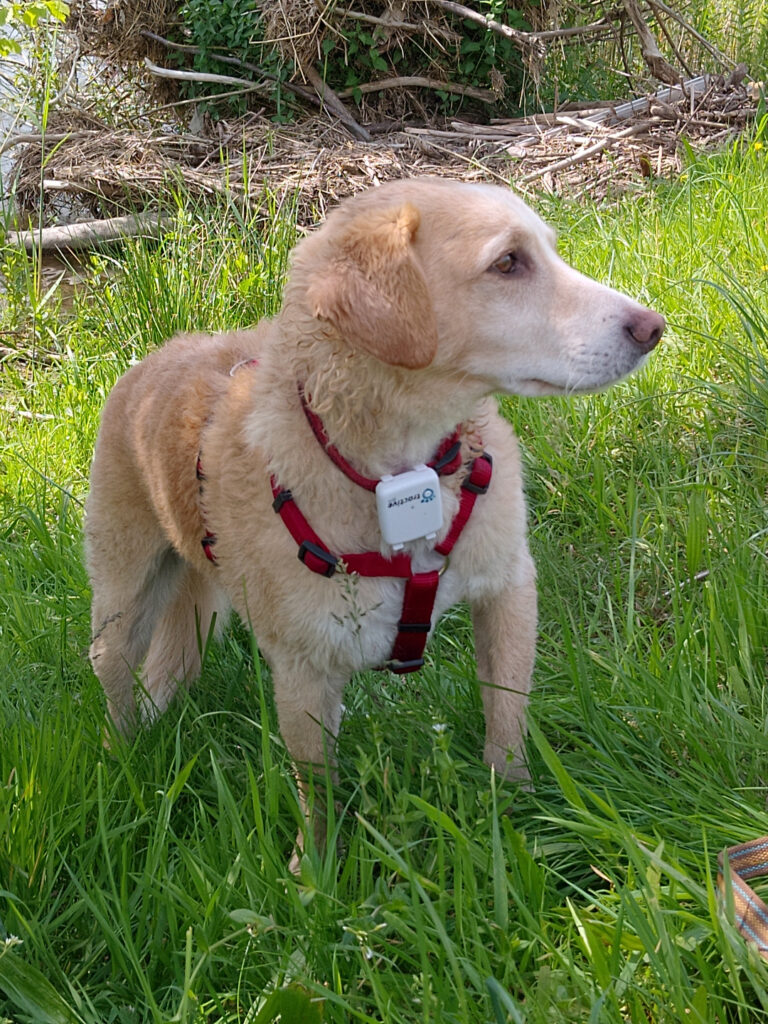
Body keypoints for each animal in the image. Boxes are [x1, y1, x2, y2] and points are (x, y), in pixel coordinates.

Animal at [85, 178, 664, 857]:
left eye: (548, 250)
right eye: (508, 264)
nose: (654, 327)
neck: (403, 473)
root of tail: (154, 361)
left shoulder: (509, 590)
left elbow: (506, 716)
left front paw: (515, 802)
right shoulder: (302, 670)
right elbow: (317, 793)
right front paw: (316, 870)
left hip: (200, 613)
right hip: (125, 598)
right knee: (116, 675)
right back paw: (123, 759)